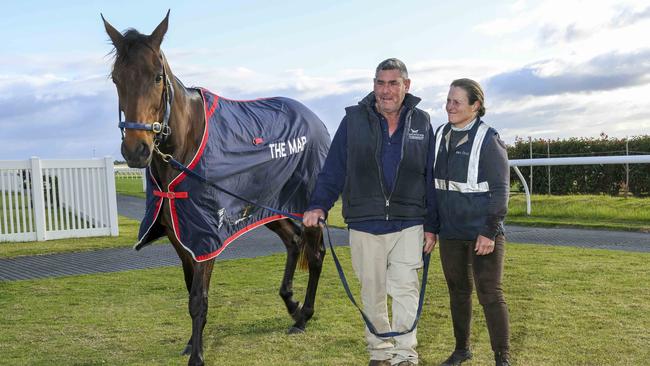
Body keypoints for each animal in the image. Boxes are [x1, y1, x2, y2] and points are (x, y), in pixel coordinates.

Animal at [104, 11, 332, 366]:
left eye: (157, 77)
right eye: (116, 78)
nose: (135, 150)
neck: (184, 147)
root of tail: (314, 119)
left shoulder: (206, 236)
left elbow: (199, 297)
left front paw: (197, 355)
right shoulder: (181, 236)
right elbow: (189, 290)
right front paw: (190, 343)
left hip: (307, 206)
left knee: (316, 253)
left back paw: (304, 314)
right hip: (266, 205)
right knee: (294, 242)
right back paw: (292, 306)